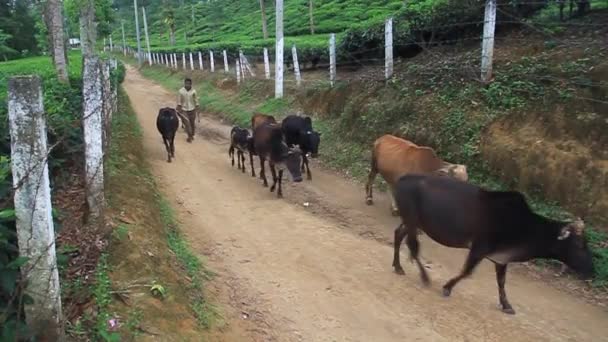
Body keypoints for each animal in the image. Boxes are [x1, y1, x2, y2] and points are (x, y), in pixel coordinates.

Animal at [390, 174, 592, 316]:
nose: (591, 269)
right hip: (412, 219)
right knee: (412, 245)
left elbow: (501, 282)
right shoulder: (479, 248)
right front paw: (447, 287)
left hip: (412, 222)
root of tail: (403, 178)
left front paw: (507, 305)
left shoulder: (501, 259)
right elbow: (466, 272)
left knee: (399, 235)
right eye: (578, 244)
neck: (524, 225)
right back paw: (424, 276)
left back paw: (398, 266)